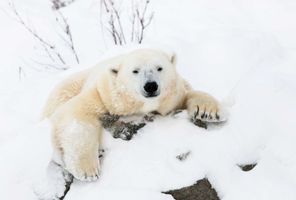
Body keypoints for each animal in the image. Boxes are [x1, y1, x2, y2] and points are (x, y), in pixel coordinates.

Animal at [42, 48, 227, 181]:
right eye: (135, 71)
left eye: (159, 68)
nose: (151, 85)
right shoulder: (105, 95)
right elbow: (76, 114)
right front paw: (88, 170)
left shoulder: (174, 95)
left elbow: (188, 94)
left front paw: (210, 113)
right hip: (70, 85)